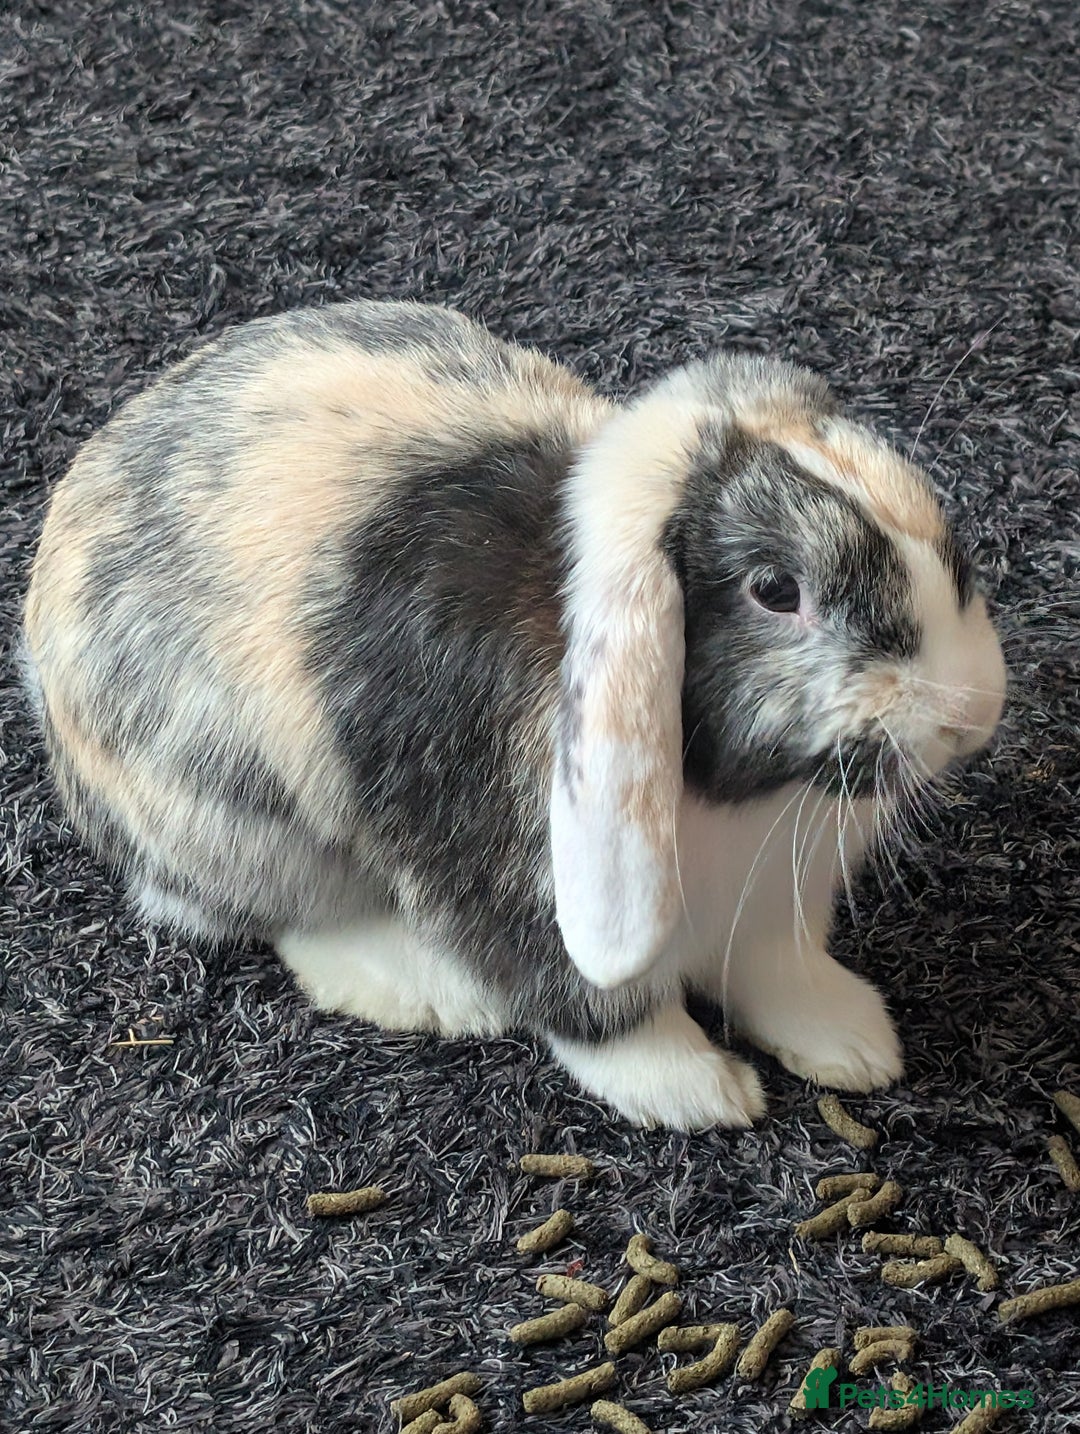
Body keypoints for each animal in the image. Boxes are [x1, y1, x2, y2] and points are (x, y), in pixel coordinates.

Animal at [22, 299, 1007, 1130]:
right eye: (775, 590)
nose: (971, 711)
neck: (743, 800)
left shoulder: (772, 912)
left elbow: (782, 976)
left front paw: (854, 1043)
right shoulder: (514, 886)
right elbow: (601, 1014)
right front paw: (699, 1094)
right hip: (238, 820)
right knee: (269, 914)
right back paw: (429, 988)